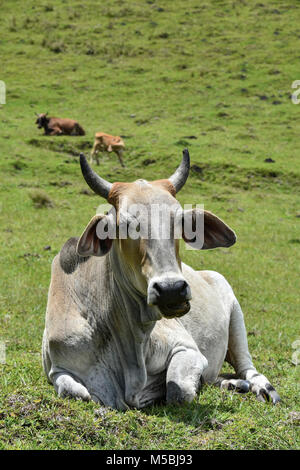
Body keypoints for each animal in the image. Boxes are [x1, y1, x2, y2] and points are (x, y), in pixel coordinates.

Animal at [41, 151, 278, 412]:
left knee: (247, 367)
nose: (171, 290)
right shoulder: (58, 369)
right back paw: (232, 384)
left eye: (182, 221)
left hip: (236, 316)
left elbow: (179, 392)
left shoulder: (187, 349)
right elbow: (77, 393)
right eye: (123, 224)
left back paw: (261, 387)